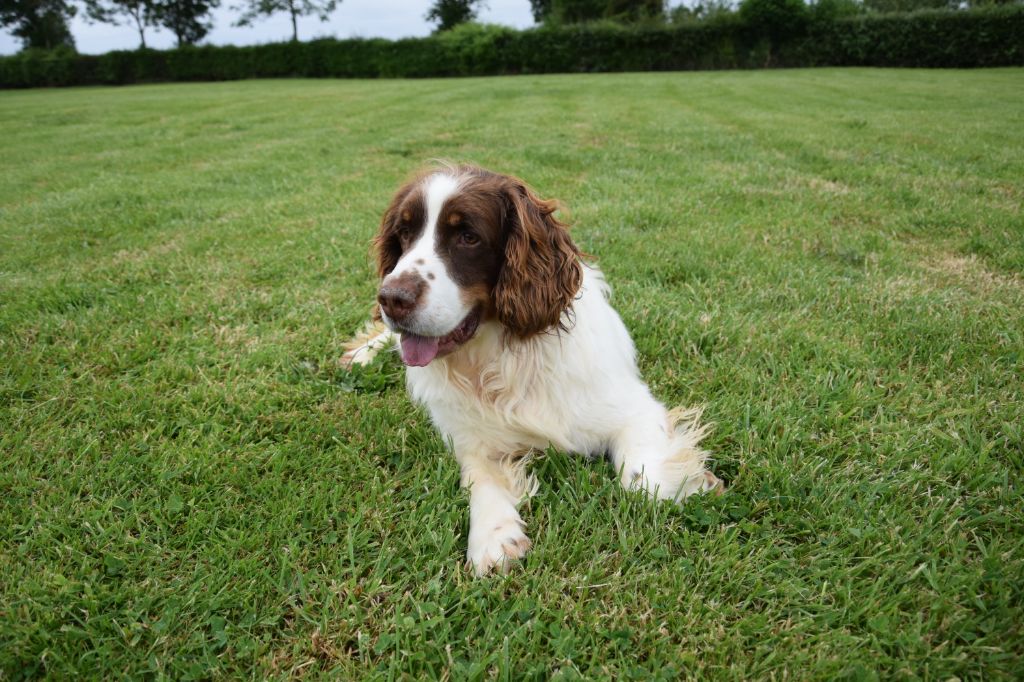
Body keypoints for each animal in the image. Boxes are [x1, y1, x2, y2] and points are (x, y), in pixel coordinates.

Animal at [342, 164, 720, 573]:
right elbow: (479, 479)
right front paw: (493, 535)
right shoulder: (471, 439)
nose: (391, 299)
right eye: (404, 233)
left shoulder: (634, 407)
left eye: (468, 237)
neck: (501, 357)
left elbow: (645, 484)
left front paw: (692, 480)